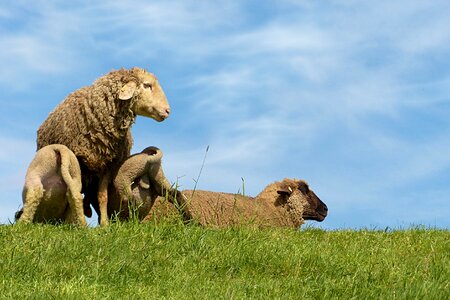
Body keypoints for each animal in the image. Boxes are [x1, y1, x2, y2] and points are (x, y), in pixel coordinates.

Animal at [36, 66, 174, 225]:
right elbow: (74, 191)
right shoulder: (77, 161)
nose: (167, 111)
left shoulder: (107, 165)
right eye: (147, 85)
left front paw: (104, 224)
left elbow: (102, 196)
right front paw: (77, 223)